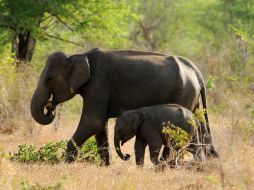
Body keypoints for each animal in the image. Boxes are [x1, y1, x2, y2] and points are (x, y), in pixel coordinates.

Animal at [30, 47, 216, 165]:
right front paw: (105, 167)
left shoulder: (98, 84)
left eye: (49, 79)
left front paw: (64, 165)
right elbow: (99, 127)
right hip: (193, 97)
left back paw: (167, 165)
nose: (50, 107)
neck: (78, 55)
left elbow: (93, 122)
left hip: (184, 93)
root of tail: (196, 71)